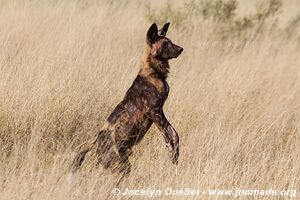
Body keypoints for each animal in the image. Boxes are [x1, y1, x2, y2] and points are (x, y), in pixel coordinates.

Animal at [71, 22, 183, 177]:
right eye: (166, 44)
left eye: (170, 41)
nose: (181, 49)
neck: (153, 73)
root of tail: (95, 143)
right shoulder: (154, 112)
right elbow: (167, 139)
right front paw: (172, 155)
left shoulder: (160, 111)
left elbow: (174, 134)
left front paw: (176, 156)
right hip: (120, 167)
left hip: (124, 165)